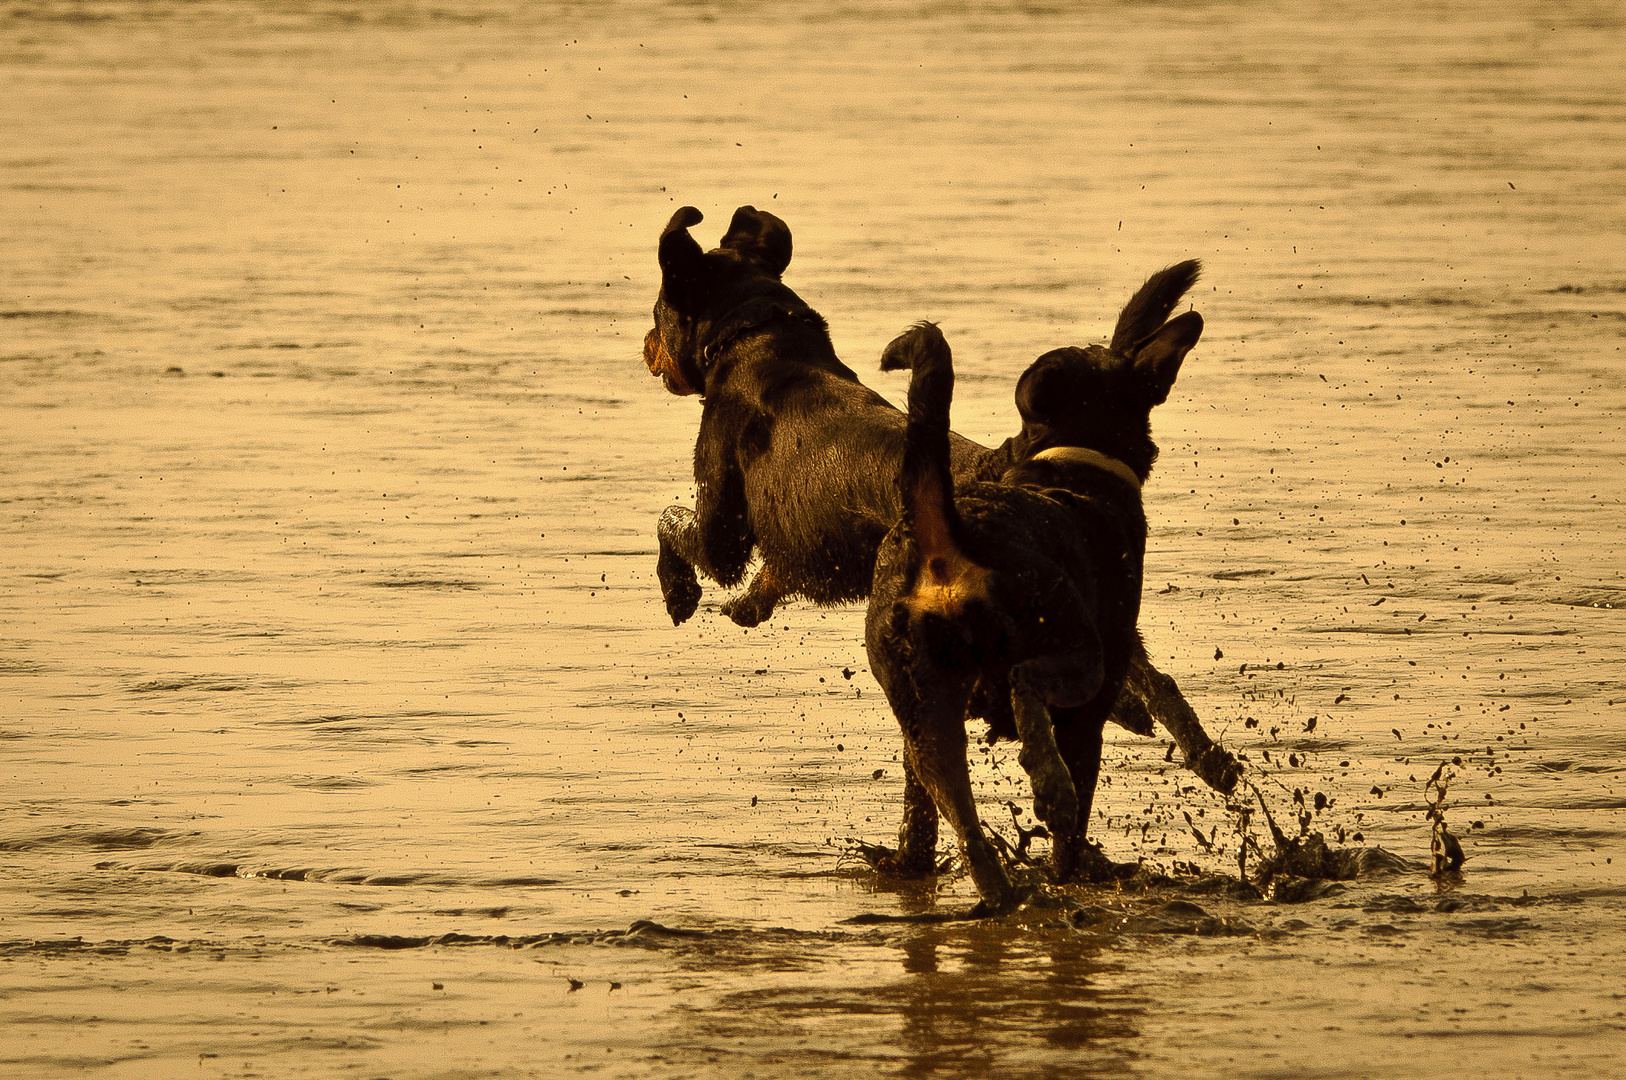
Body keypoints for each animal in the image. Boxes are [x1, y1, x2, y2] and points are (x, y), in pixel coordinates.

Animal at [871, 261, 1203, 910]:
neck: (1075, 456)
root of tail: (947, 542)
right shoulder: (1094, 707)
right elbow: (1072, 832)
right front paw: (1071, 860)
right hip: (1074, 649)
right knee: (1030, 691)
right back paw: (1050, 791)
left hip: (926, 716)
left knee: (961, 826)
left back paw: (1002, 892)